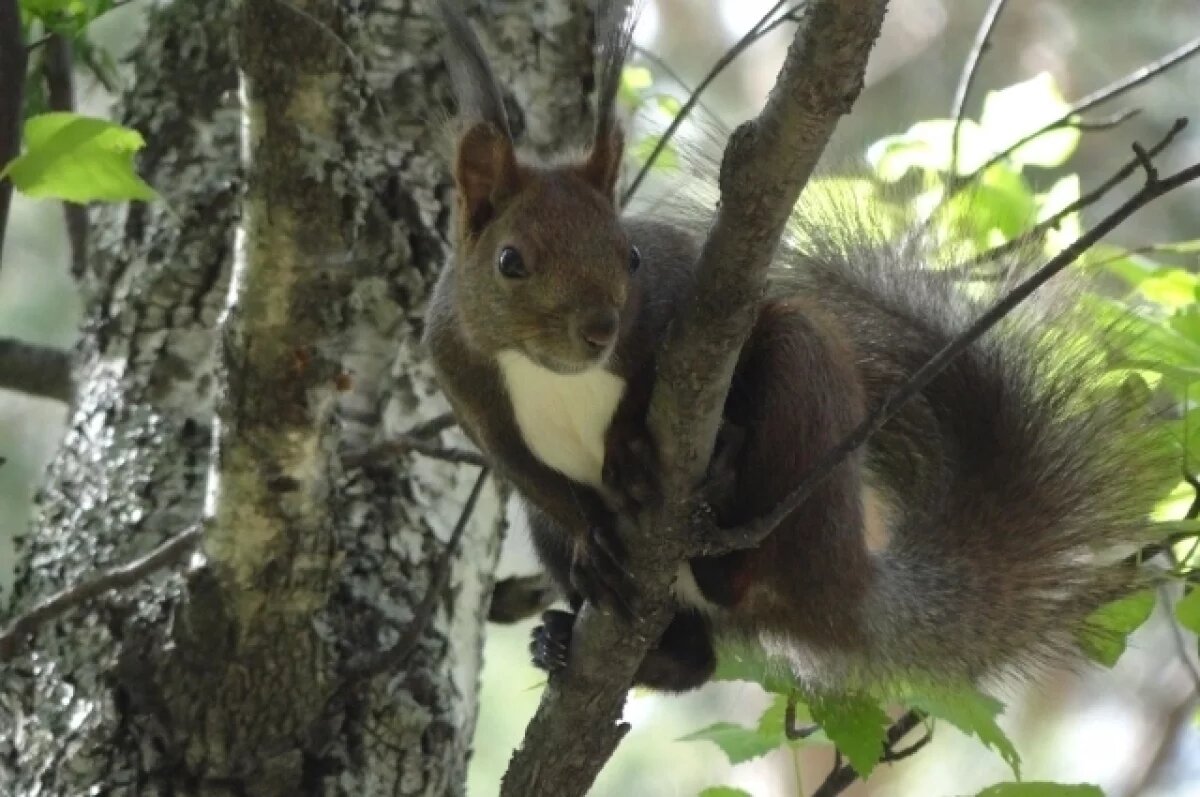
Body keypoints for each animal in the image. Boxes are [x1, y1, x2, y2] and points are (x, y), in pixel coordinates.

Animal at [424, 0, 1171, 696]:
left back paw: (722, 511)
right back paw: (579, 639)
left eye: (631, 254)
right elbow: (525, 471)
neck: (552, 372)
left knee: (750, 549)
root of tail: (849, 585)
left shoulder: (682, 303)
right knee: (696, 658)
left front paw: (630, 447)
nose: (599, 330)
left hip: (801, 399)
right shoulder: (460, 376)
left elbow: (670, 377)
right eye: (511, 261)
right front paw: (591, 536)